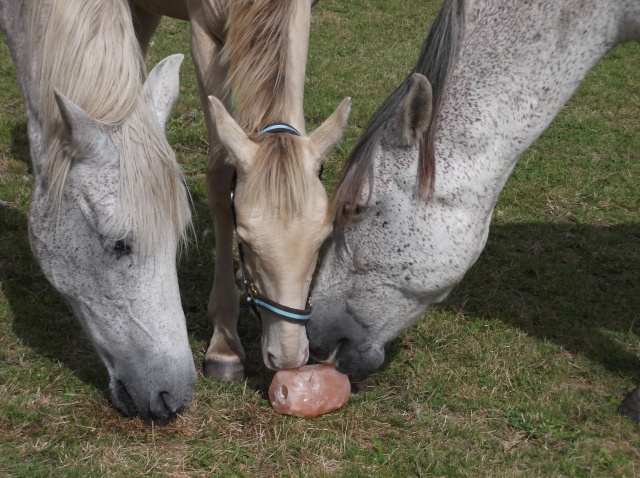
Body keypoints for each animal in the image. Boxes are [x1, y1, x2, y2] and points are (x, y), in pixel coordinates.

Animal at [129, 0, 350, 380]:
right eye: (244, 240)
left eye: (323, 239)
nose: (289, 357)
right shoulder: (203, 33)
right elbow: (220, 176)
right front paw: (225, 347)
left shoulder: (300, 13)